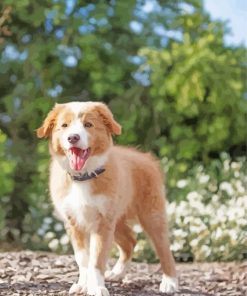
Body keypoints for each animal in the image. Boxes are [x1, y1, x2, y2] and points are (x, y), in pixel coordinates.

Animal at [36, 102, 178, 296]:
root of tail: (146, 157)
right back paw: (118, 273)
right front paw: (83, 284)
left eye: (88, 124)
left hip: (151, 214)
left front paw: (96, 287)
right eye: (64, 126)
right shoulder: (74, 221)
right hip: (117, 219)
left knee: (163, 247)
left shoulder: (102, 222)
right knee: (130, 241)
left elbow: (97, 258)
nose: (73, 138)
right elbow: (83, 258)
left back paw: (170, 282)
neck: (83, 177)